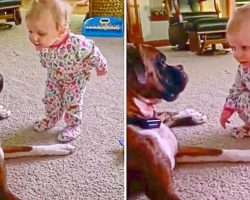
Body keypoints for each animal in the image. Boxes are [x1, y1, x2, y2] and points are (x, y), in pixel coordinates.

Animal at [127, 43, 250, 199]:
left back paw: (194, 115)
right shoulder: (162, 190)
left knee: (166, 116)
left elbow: (220, 151)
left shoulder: (178, 150)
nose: (180, 66)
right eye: (161, 62)